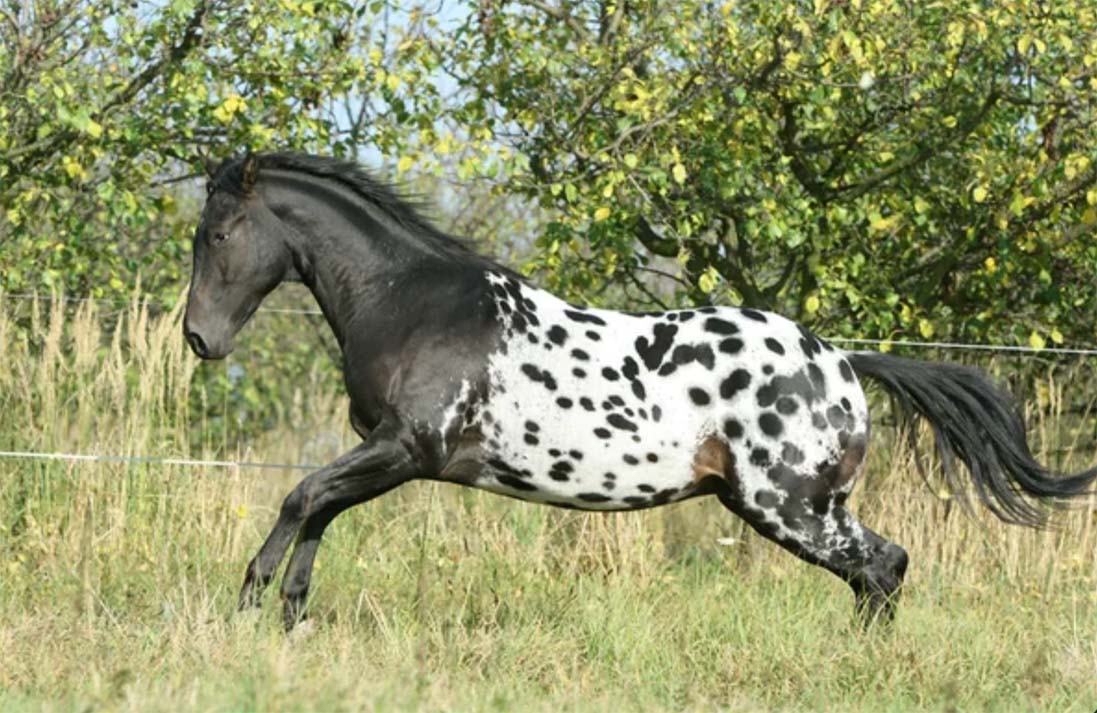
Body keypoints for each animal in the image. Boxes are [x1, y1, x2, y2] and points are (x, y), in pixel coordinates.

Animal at [183, 152, 1097, 631]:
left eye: (218, 233)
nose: (200, 338)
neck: (410, 300)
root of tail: (841, 361)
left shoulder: (406, 447)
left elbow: (302, 498)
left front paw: (248, 601)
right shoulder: (384, 450)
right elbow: (318, 511)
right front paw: (288, 611)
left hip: (791, 505)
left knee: (882, 564)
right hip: (784, 505)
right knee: (881, 568)